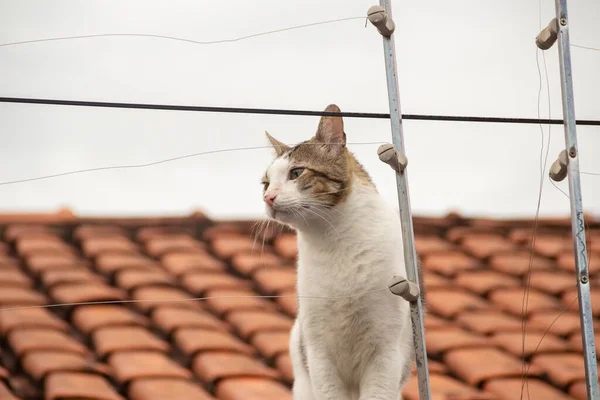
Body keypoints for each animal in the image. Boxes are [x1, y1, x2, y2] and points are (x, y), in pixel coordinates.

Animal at [262, 104, 418, 400]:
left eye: (296, 173)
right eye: (265, 183)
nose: (268, 197)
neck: (333, 241)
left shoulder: (385, 351)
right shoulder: (318, 351)